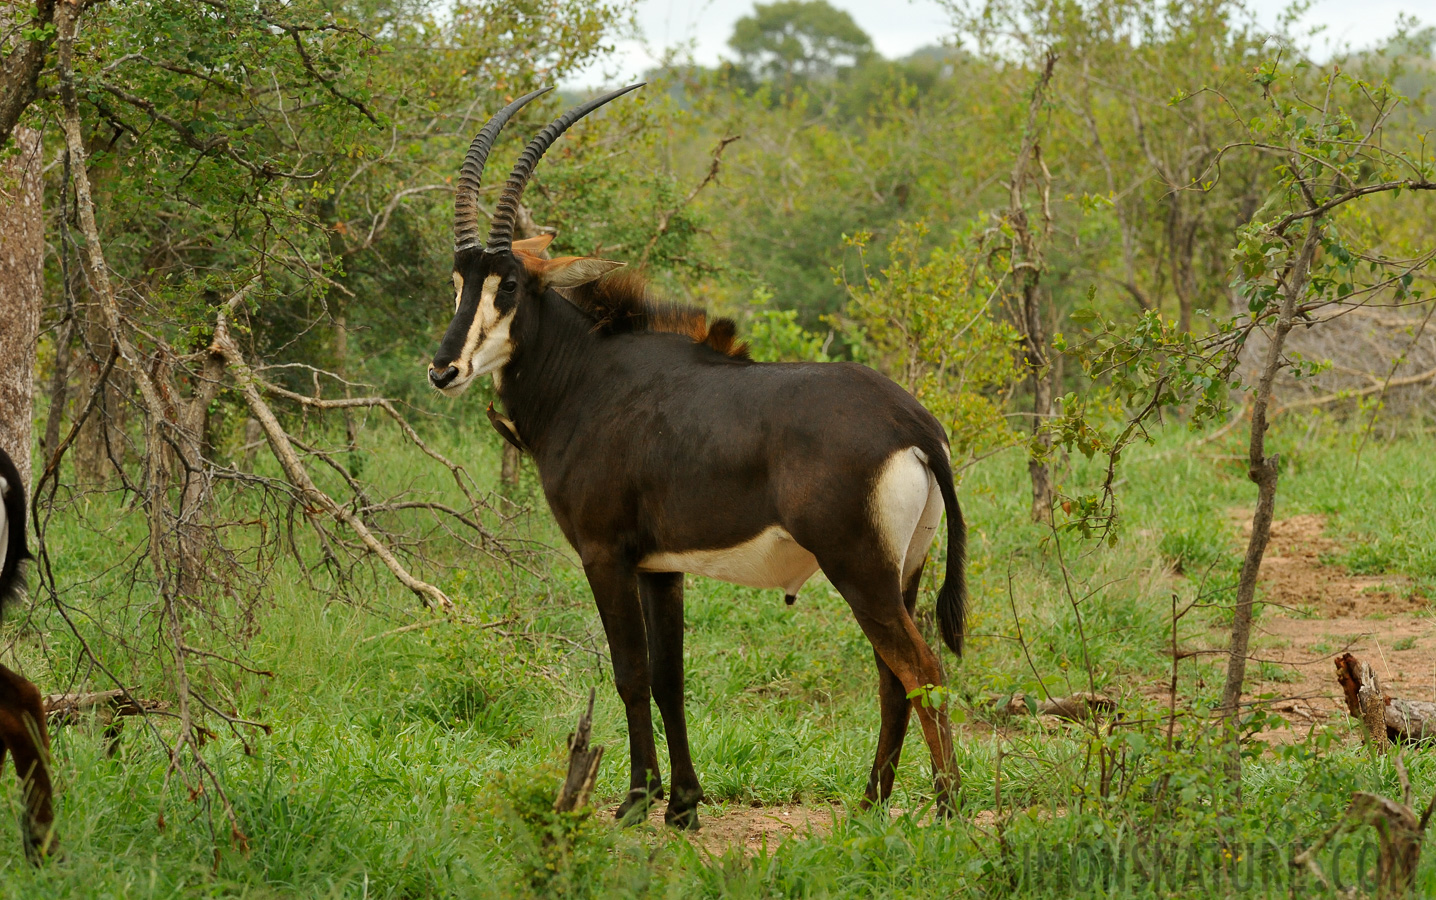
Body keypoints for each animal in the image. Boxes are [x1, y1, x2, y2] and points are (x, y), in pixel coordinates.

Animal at [425, 86, 964, 832]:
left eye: (507, 284)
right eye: (457, 281)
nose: (444, 370)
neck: (588, 378)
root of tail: (912, 424)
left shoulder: (605, 553)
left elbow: (629, 673)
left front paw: (634, 801)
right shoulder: (661, 567)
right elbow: (668, 677)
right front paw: (681, 804)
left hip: (859, 569)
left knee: (923, 671)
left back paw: (947, 808)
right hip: (901, 571)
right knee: (895, 677)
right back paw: (868, 804)